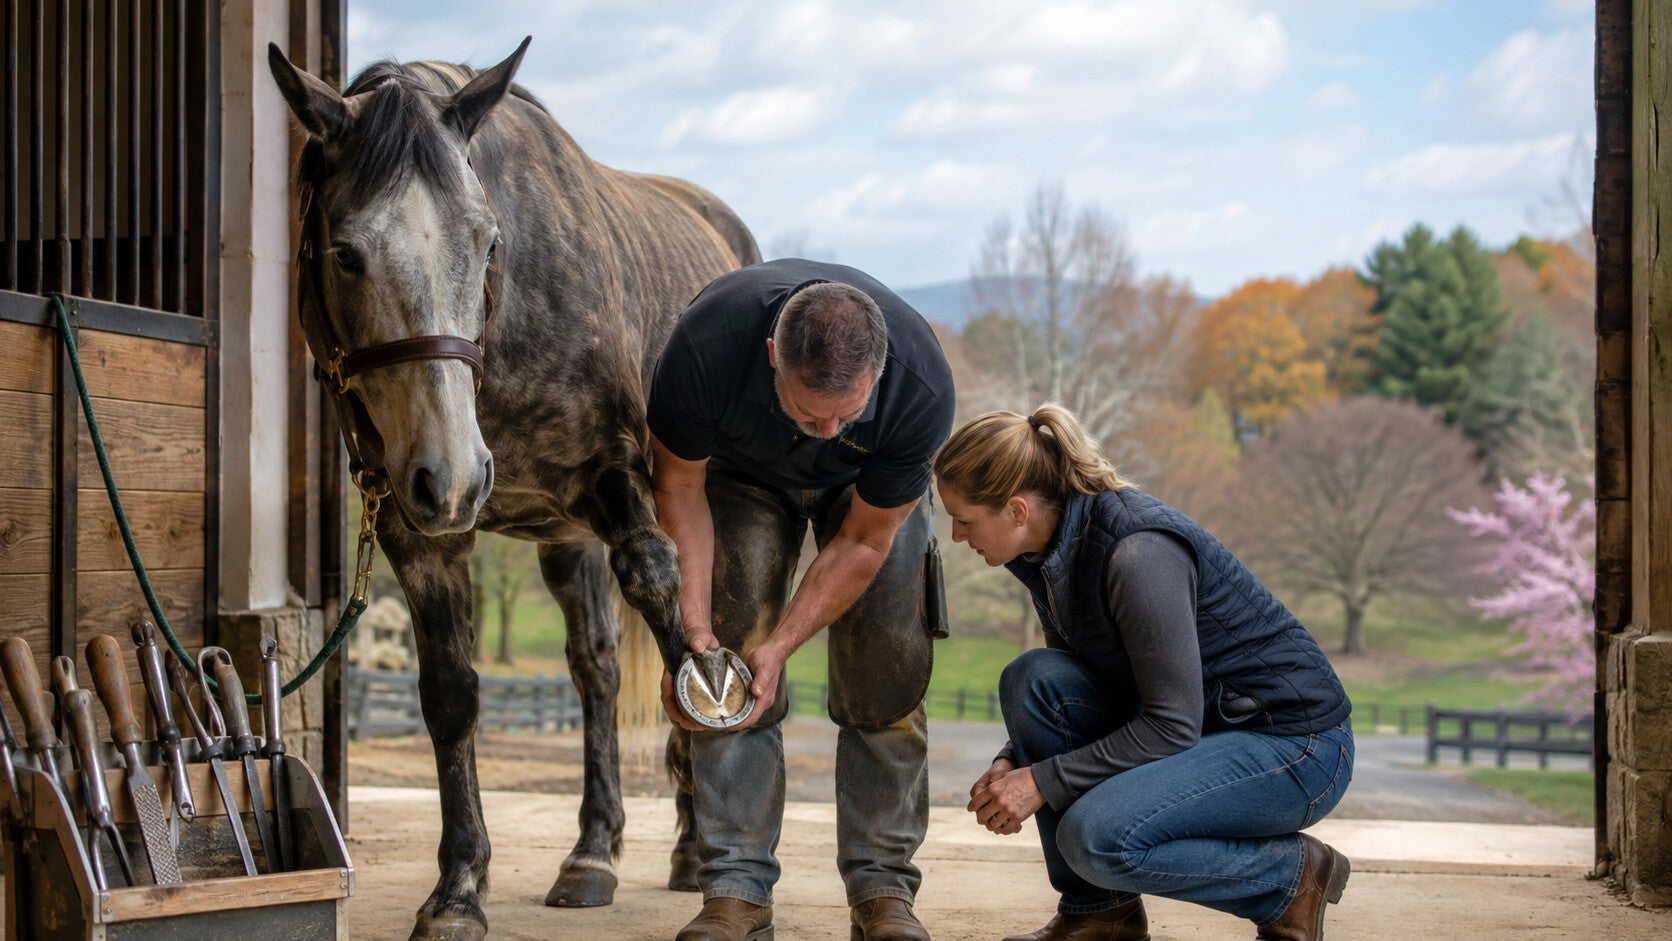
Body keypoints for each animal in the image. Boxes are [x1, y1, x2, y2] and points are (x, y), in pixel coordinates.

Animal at [268, 38, 758, 941]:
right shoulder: (419, 529)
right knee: (595, 667)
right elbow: (452, 695)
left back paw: (692, 843)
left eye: (487, 240)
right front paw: (460, 885)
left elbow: (684, 642)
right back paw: (597, 850)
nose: (458, 474)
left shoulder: (618, 485)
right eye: (345, 251)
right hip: (562, 541)